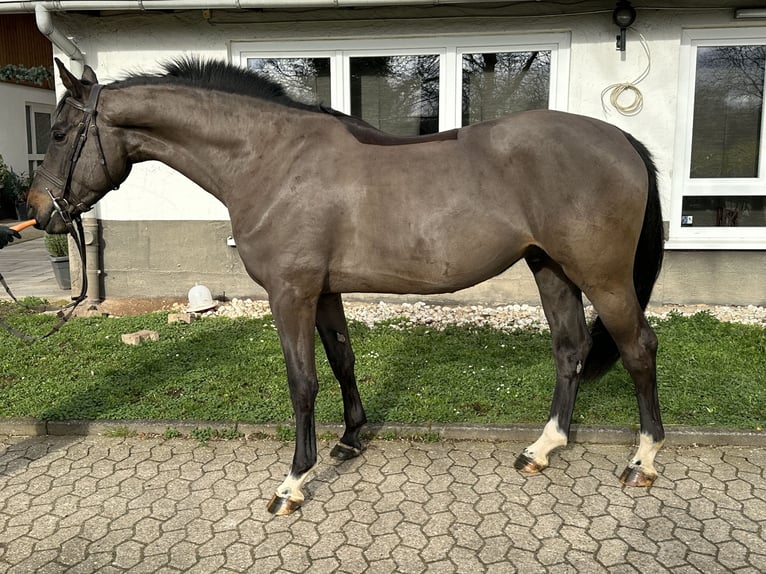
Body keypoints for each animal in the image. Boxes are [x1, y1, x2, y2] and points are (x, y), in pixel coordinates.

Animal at [28, 58, 665, 516]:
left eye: (58, 133)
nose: (39, 212)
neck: (270, 159)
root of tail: (622, 141)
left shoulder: (290, 295)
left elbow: (302, 383)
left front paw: (292, 482)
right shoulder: (324, 292)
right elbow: (342, 361)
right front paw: (351, 439)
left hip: (603, 277)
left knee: (638, 348)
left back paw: (643, 460)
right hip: (550, 268)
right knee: (570, 348)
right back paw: (543, 448)